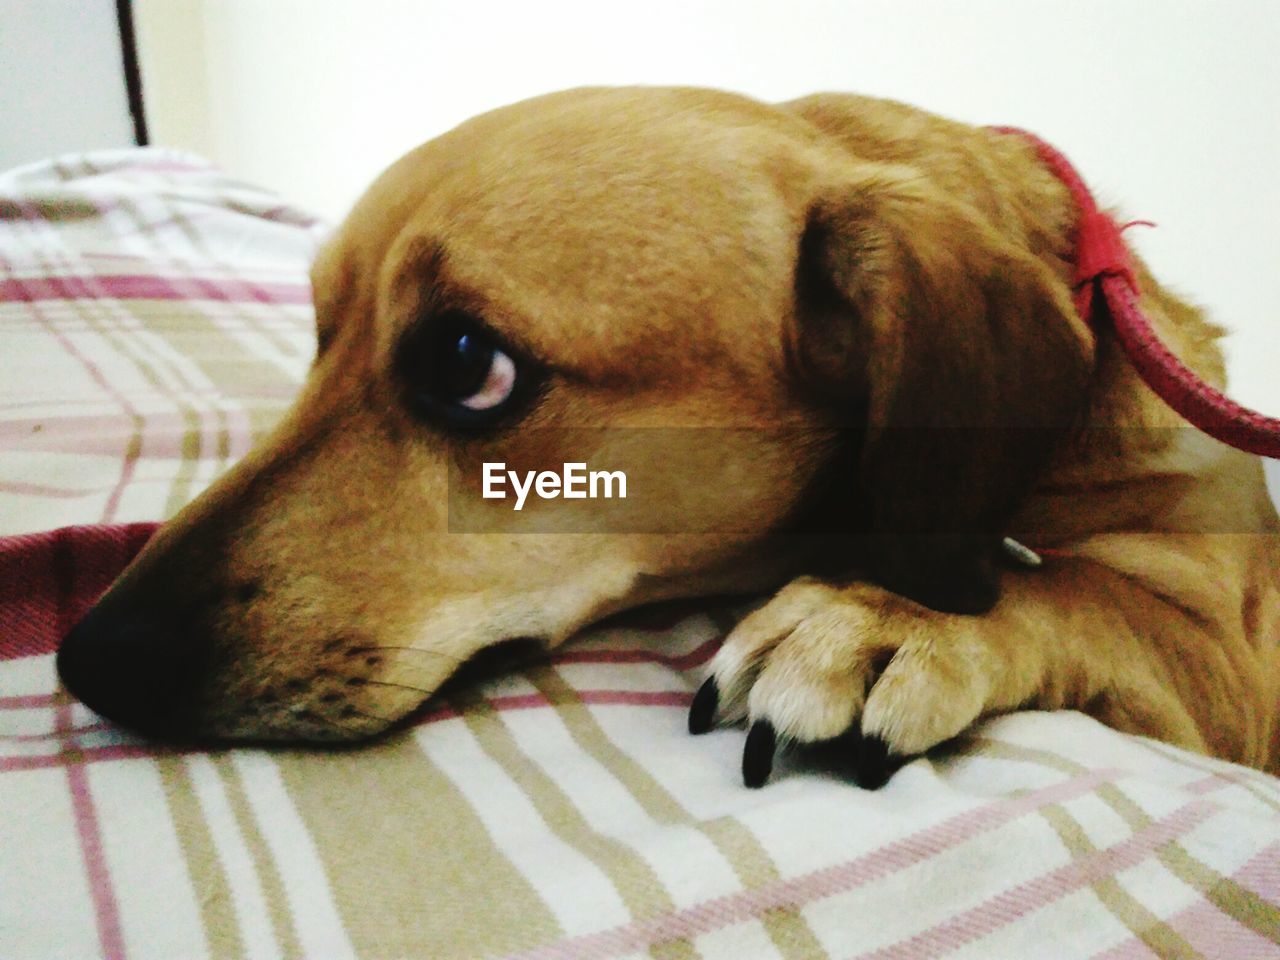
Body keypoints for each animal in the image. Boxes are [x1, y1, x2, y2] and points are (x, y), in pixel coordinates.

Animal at [57, 86, 1280, 783]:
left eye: (465, 365)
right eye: (317, 338)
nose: (84, 658)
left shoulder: (1229, 670)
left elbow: (1082, 591)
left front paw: (889, 618)